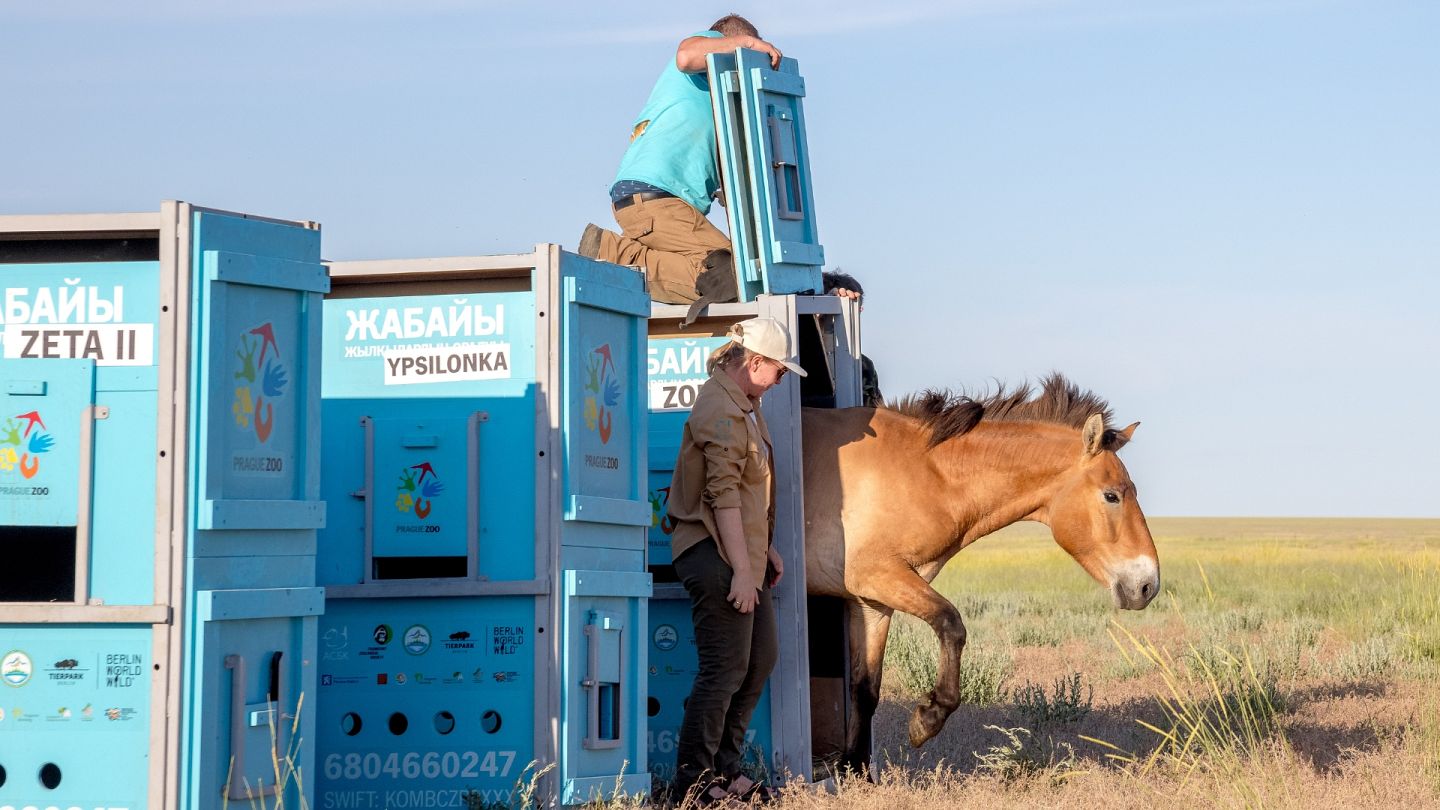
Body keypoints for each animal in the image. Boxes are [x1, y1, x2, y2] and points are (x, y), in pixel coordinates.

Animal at [800, 374, 1157, 766]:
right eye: (1111, 495)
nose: (1148, 584)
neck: (925, 473)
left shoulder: (871, 603)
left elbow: (865, 689)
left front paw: (852, 767)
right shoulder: (881, 576)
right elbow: (951, 623)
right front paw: (928, 718)